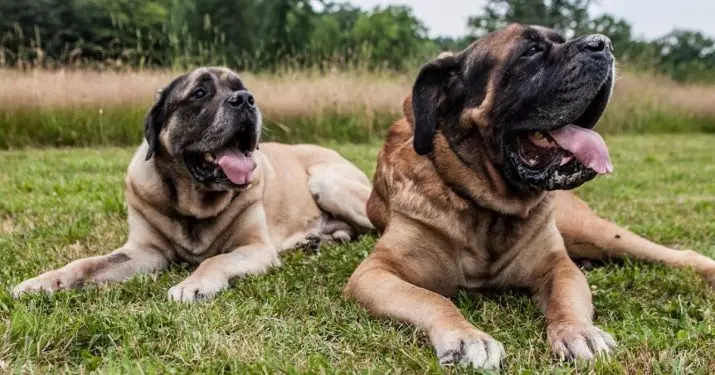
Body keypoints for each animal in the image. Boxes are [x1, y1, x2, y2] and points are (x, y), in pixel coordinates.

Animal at [12, 67, 374, 302]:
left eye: (243, 89)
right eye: (199, 93)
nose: (246, 99)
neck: (194, 202)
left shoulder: (255, 247)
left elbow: (216, 259)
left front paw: (192, 285)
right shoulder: (145, 252)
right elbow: (86, 263)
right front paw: (41, 282)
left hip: (326, 181)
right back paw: (315, 240)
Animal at [344, 24, 715, 370]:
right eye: (531, 51)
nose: (603, 43)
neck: (488, 207)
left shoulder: (558, 266)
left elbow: (565, 299)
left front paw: (580, 332)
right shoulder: (375, 273)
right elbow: (433, 299)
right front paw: (466, 337)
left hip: (594, 231)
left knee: (674, 254)